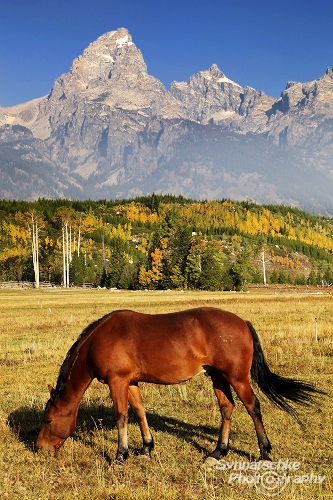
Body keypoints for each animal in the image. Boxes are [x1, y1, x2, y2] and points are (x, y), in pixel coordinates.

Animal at [35, 306, 320, 466]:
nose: (39, 449)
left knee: (253, 407)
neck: (99, 340)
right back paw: (218, 452)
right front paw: (146, 449)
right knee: (227, 408)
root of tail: (242, 322)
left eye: (48, 421)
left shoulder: (118, 380)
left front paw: (120, 455)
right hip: (218, 377)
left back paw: (264, 452)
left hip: (237, 378)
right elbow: (139, 412)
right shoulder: (131, 381)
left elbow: (121, 416)